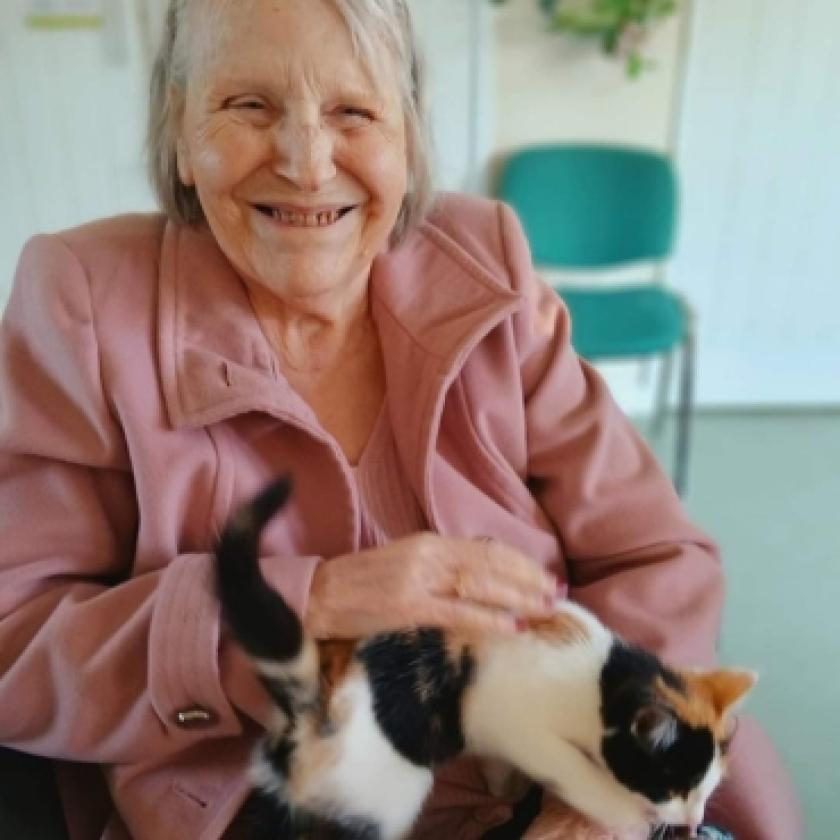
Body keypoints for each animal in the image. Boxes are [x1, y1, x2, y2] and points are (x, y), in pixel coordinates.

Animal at [215, 480, 748, 840]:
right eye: (676, 787)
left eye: (710, 787)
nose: (696, 820)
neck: (598, 674)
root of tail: (310, 697)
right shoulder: (507, 713)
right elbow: (570, 770)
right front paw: (624, 812)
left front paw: (500, 784)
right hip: (386, 791)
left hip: (279, 794)